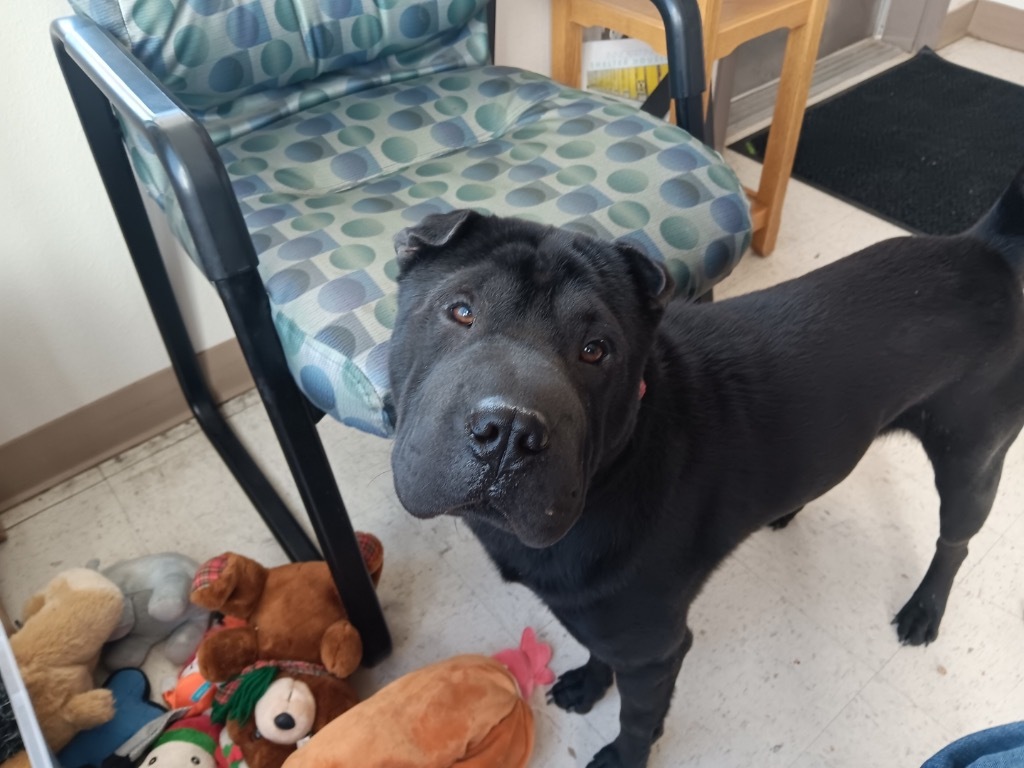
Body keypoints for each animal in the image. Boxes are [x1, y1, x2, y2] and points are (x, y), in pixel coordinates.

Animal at [385, 169, 1024, 768]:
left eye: (596, 349)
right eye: (460, 310)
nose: (511, 430)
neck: (614, 469)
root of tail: (987, 251)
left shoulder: (654, 646)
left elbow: (639, 717)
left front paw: (624, 755)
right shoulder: (605, 617)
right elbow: (598, 652)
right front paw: (589, 684)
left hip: (972, 458)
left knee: (955, 541)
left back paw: (924, 609)